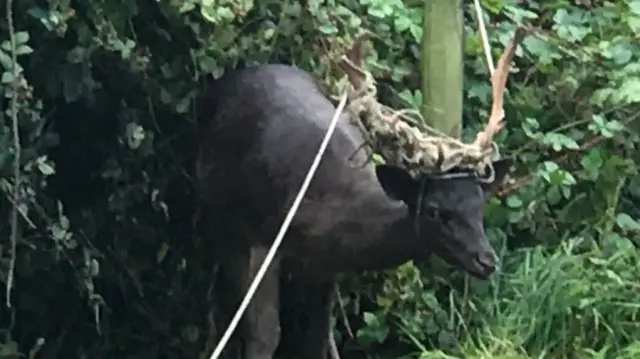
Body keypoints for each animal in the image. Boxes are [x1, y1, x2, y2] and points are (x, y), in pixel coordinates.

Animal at [196, 30, 524, 359]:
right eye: (434, 210)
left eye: (480, 205)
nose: (487, 260)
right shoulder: (262, 240)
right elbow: (264, 335)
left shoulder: (325, 268)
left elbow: (317, 338)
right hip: (221, 222)